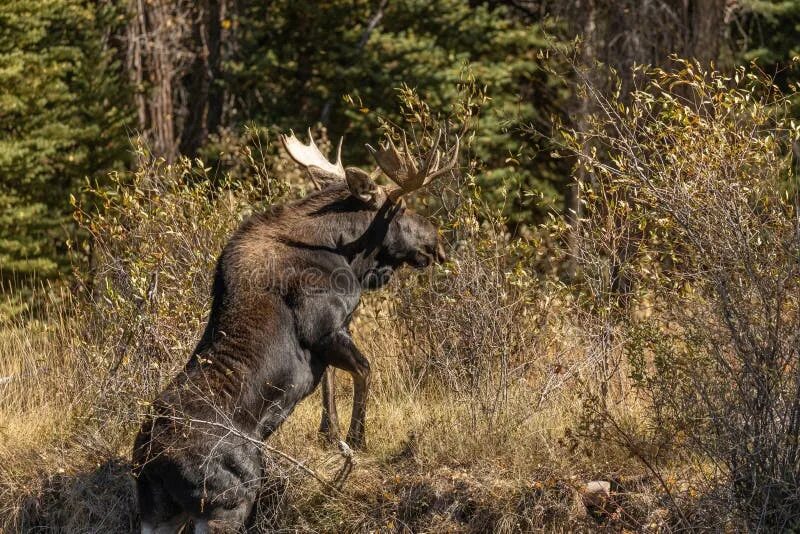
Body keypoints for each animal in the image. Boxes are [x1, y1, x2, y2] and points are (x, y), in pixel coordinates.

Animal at [131, 127, 456, 532]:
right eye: (400, 208)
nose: (437, 241)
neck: (346, 253)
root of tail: (152, 463)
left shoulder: (328, 338)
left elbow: (330, 381)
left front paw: (330, 435)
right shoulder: (324, 327)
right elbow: (363, 370)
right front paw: (357, 439)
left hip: (156, 513)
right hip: (228, 502)